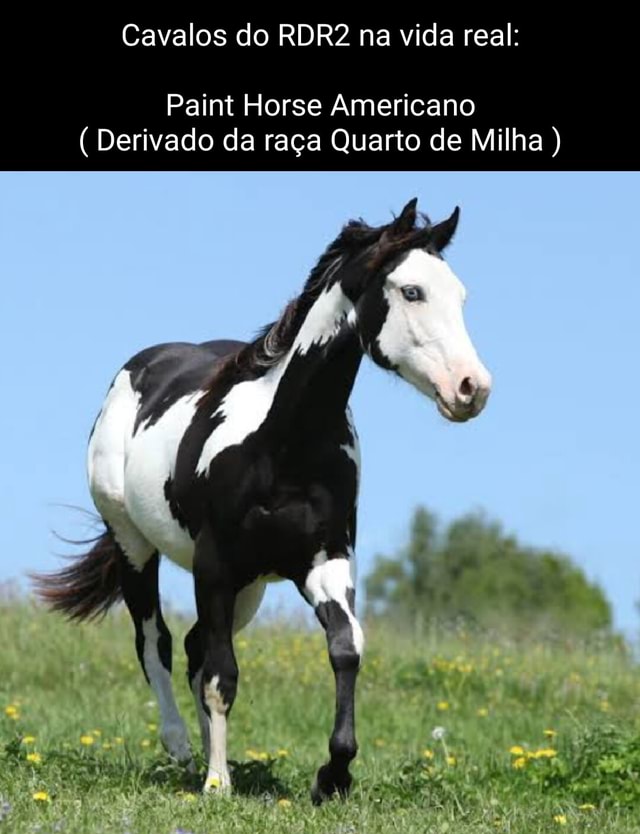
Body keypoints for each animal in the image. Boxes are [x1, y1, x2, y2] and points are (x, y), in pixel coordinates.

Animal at [32, 197, 492, 802]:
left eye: (460, 295)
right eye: (412, 291)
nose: (472, 388)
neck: (283, 445)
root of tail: (138, 368)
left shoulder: (324, 560)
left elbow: (344, 647)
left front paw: (332, 776)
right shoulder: (214, 564)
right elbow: (221, 674)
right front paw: (217, 785)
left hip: (247, 588)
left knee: (196, 648)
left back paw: (208, 754)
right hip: (136, 545)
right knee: (156, 642)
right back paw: (182, 749)